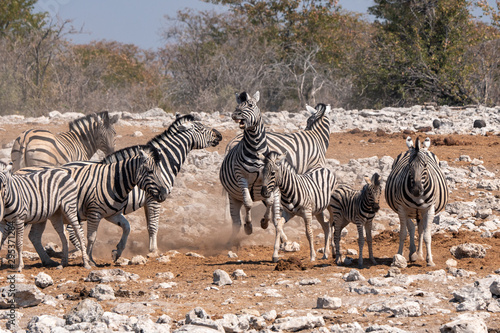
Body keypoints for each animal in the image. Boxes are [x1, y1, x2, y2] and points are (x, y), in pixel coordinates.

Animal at [19, 145, 170, 264]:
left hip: (41, 215)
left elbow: (127, 227)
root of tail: (18, 170)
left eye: (160, 171)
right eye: (150, 172)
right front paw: (90, 259)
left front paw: (117, 252)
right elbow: (92, 237)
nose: (164, 194)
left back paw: (47, 261)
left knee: (34, 237)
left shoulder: (112, 214)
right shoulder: (94, 212)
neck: (113, 181)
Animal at [384, 136, 448, 266]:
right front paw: (399, 256)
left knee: (421, 229)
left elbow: (427, 235)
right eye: (409, 165)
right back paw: (413, 254)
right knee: (412, 227)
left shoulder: (429, 209)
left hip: (420, 212)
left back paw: (419, 254)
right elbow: (403, 233)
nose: (416, 190)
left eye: (425, 165)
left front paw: (430, 261)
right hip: (407, 211)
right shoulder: (401, 209)